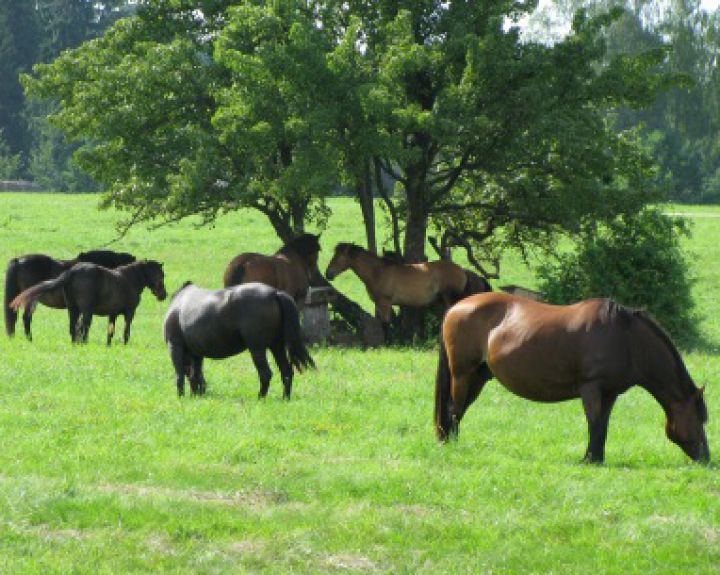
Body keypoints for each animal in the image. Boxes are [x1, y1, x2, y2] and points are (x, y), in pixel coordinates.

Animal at [9, 262, 167, 346]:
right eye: (161, 275)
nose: (163, 295)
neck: (130, 279)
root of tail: (72, 272)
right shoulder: (130, 312)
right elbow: (126, 331)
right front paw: (124, 345)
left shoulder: (113, 314)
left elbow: (110, 332)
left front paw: (109, 346)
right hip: (86, 310)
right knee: (84, 327)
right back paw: (84, 344)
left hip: (73, 309)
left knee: (73, 328)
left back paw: (76, 344)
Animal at [167, 282, 316, 398]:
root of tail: (274, 293)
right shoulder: (197, 353)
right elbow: (195, 375)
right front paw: (197, 395)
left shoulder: (175, 346)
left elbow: (180, 375)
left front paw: (182, 397)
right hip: (276, 346)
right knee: (286, 372)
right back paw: (285, 398)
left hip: (257, 348)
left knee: (266, 373)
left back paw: (260, 398)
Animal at [324, 243, 490, 324]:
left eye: (339, 256)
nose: (328, 273)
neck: (378, 271)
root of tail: (463, 270)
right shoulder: (379, 303)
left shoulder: (385, 303)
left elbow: (386, 323)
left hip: (450, 298)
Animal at [434, 292, 708, 464]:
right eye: (700, 419)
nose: (706, 458)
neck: (626, 338)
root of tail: (454, 308)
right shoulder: (591, 388)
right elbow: (593, 423)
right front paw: (588, 459)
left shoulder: (610, 393)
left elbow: (603, 425)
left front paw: (597, 458)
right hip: (463, 374)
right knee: (454, 409)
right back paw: (452, 446)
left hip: (479, 378)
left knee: (459, 410)